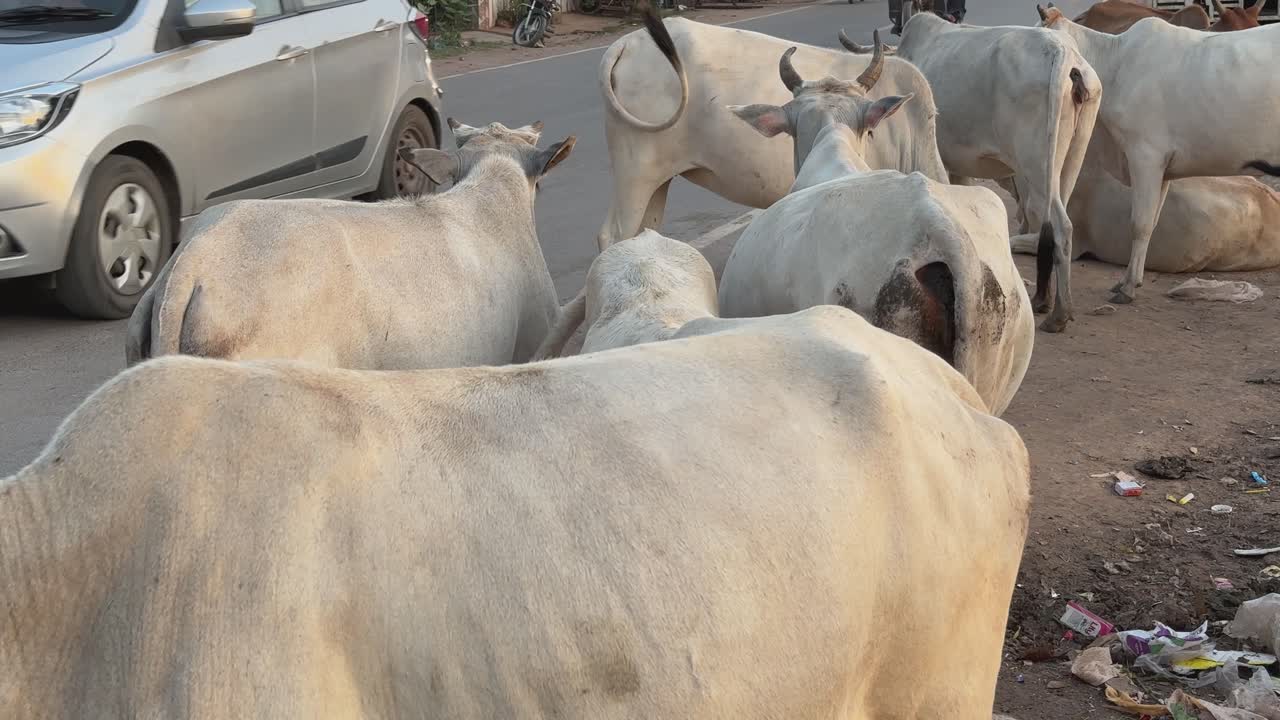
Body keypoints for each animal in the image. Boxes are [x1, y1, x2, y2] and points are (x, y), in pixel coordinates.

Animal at [838, 7, 1101, 333]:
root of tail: (1063, 53)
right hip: (1071, 156)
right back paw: (1046, 302)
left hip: (1036, 164)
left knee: (1059, 225)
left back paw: (1059, 314)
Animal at [1036, 6, 1280, 305]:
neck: (1115, 63)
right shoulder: (1163, 169)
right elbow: (1151, 223)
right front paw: (1130, 280)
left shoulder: (1145, 157)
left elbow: (1139, 224)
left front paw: (1128, 287)